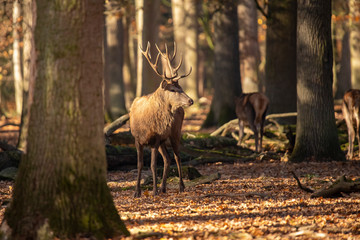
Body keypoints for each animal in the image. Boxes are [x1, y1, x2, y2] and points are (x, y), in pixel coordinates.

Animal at [129, 42, 194, 198]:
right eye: (173, 90)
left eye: (181, 87)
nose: (191, 100)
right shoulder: (137, 139)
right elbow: (140, 164)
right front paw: (137, 192)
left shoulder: (155, 139)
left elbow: (152, 165)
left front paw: (154, 191)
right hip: (164, 140)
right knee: (167, 158)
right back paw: (164, 187)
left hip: (175, 133)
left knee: (177, 157)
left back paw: (181, 186)